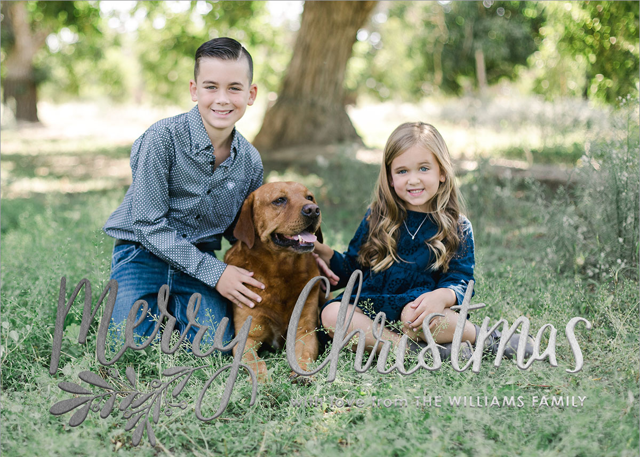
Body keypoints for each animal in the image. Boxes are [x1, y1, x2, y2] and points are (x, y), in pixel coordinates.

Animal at [224, 182, 323, 382]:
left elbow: (304, 355)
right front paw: (262, 381)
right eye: (279, 200)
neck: (281, 272)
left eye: (309, 197)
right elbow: (256, 362)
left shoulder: (305, 332)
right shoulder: (247, 337)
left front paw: (302, 372)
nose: (313, 210)